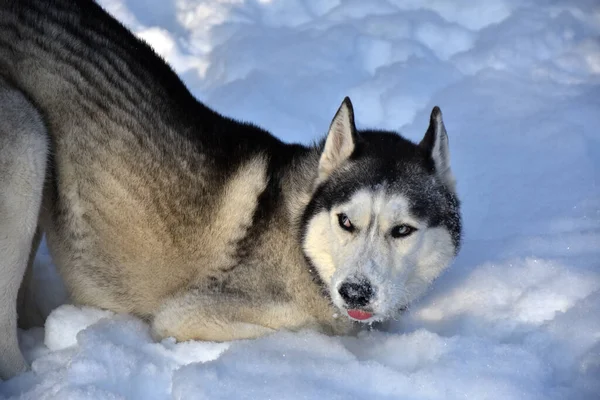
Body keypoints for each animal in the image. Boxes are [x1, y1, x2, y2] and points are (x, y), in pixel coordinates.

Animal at [0, 0, 460, 378]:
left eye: (402, 230)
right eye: (346, 221)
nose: (355, 291)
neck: (301, 245)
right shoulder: (187, 315)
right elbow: (309, 331)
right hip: (26, 143)